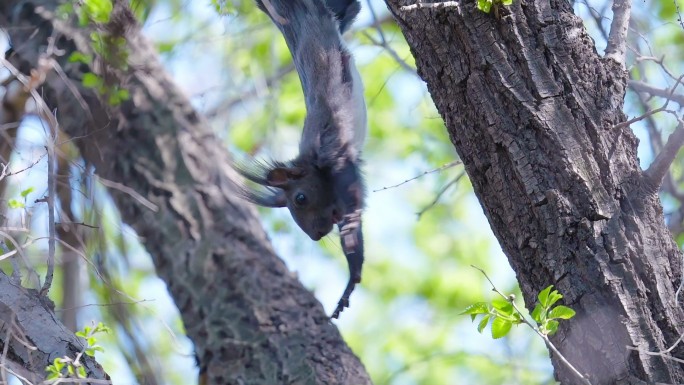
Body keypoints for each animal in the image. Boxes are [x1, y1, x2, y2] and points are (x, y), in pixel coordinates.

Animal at [236, 0, 366, 318]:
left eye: (300, 198)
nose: (316, 236)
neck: (311, 161)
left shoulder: (337, 158)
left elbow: (354, 202)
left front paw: (352, 265)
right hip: (342, 14)